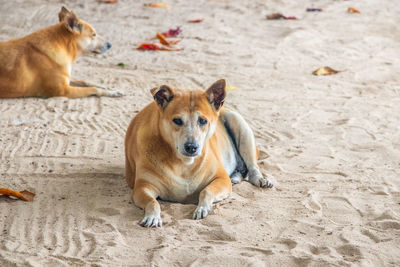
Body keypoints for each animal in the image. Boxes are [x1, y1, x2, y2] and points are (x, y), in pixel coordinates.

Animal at [125, 79, 274, 228]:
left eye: (202, 120)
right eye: (177, 120)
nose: (192, 147)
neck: (184, 164)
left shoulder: (221, 179)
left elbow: (206, 191)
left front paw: (202, 208)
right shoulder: (142, 187)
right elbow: (152, 202)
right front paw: (153, 216)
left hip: (239, 124)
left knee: (252, 166)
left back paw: (259, 179)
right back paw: (236, 177)